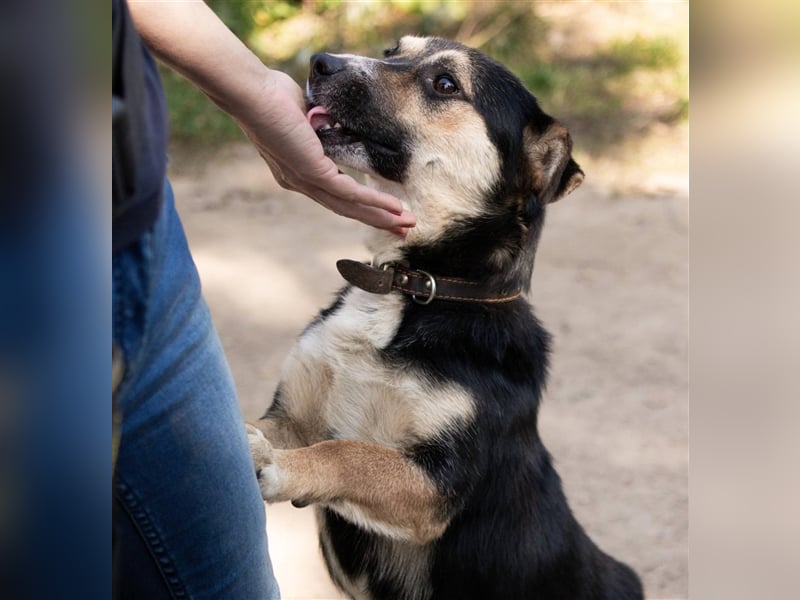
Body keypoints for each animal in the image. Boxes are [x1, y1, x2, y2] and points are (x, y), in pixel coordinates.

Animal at [250, 37, 644, 600]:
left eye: (444, 84)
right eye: (392, 49)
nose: (321, 62)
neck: (411, 286)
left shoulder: (436, 485)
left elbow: (348, 452)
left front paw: (278, 465)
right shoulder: (292, 418)